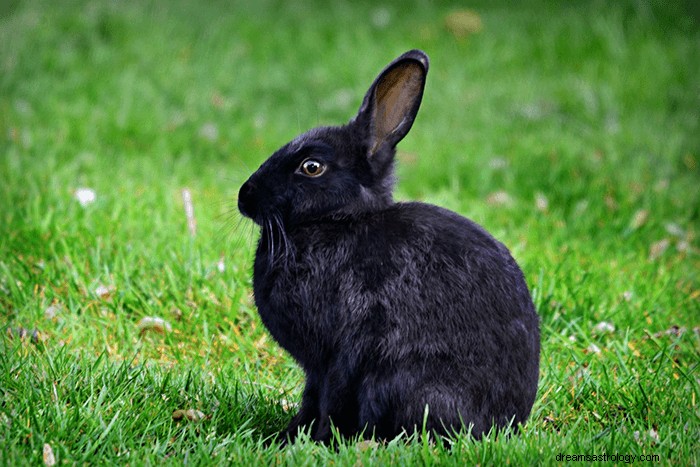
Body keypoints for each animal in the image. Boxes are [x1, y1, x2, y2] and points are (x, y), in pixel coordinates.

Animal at [238, 49, 540, 444]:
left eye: (312, 166)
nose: (244, 196)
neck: (338, 220)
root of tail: (506, 424)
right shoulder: (318, 369)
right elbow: (311, 397)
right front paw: (289, 435)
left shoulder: (340, 352)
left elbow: (329, 398)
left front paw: (316, 440)